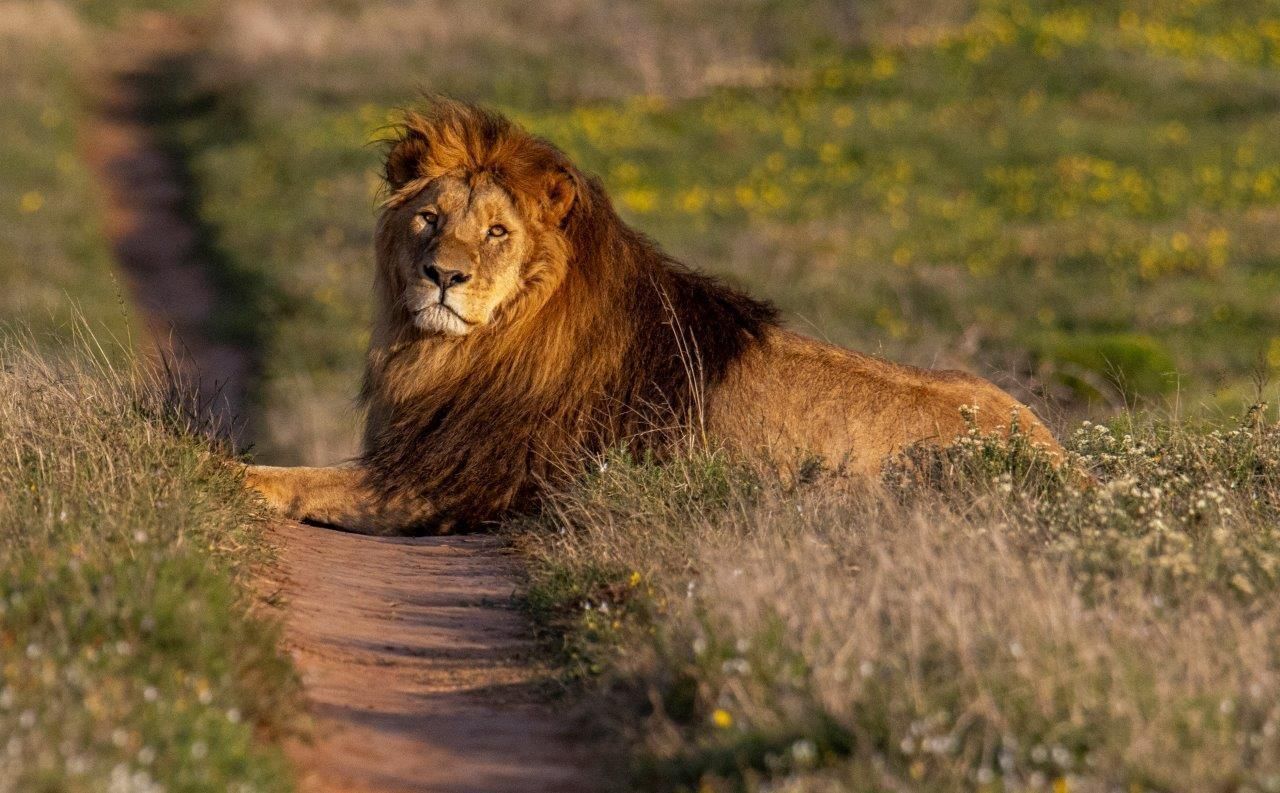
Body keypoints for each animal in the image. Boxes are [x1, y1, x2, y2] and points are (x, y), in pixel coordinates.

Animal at [245, 98, 1063, 534]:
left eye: (497, 232)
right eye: (428, 218)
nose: (442, 276)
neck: (459, 351)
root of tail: (1064, 463)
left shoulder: (440, 484)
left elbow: (287, 479)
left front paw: (215, 470)